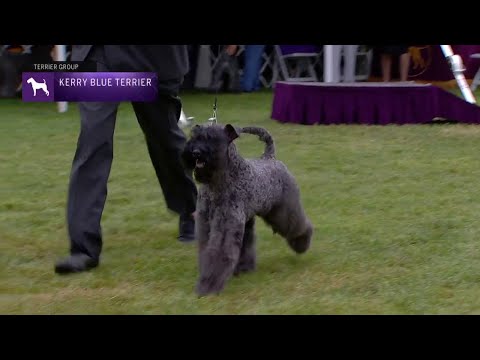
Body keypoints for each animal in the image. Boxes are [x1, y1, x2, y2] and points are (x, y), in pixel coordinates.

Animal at [182, 122, 314, 296]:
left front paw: (208, 285)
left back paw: (302, 243)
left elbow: (218, 253)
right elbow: (206, 251)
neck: (219, 181)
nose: (195, 152)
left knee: (298, 225)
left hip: (283, 210)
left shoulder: (225, 224)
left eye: (214, 139)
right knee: (248, 242)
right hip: (250, 220)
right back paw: (245, 268)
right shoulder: (206, 224)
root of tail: (270, 158)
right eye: (195, 136)